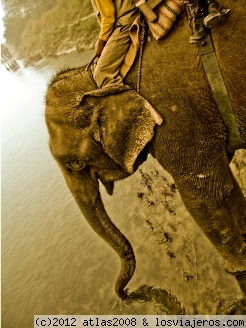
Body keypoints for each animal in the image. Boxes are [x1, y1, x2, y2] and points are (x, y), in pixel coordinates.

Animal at [45, 0, 246, 300]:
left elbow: (203, 197)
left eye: (74, 164)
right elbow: (228, 190)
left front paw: (238, 269)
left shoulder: (174, 114)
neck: (94, 79)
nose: (125, 296)